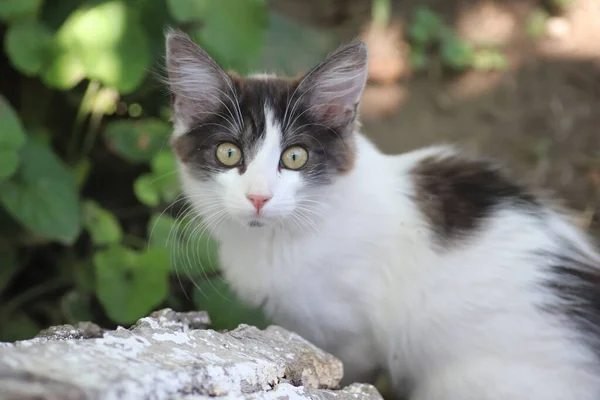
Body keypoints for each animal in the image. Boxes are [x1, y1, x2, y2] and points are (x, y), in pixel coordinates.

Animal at [166, 30, 600, 400]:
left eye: (295, 157)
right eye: (228, 152)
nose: (259, 197)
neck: (275, 239)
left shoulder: (353, 335)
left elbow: (346, 367)